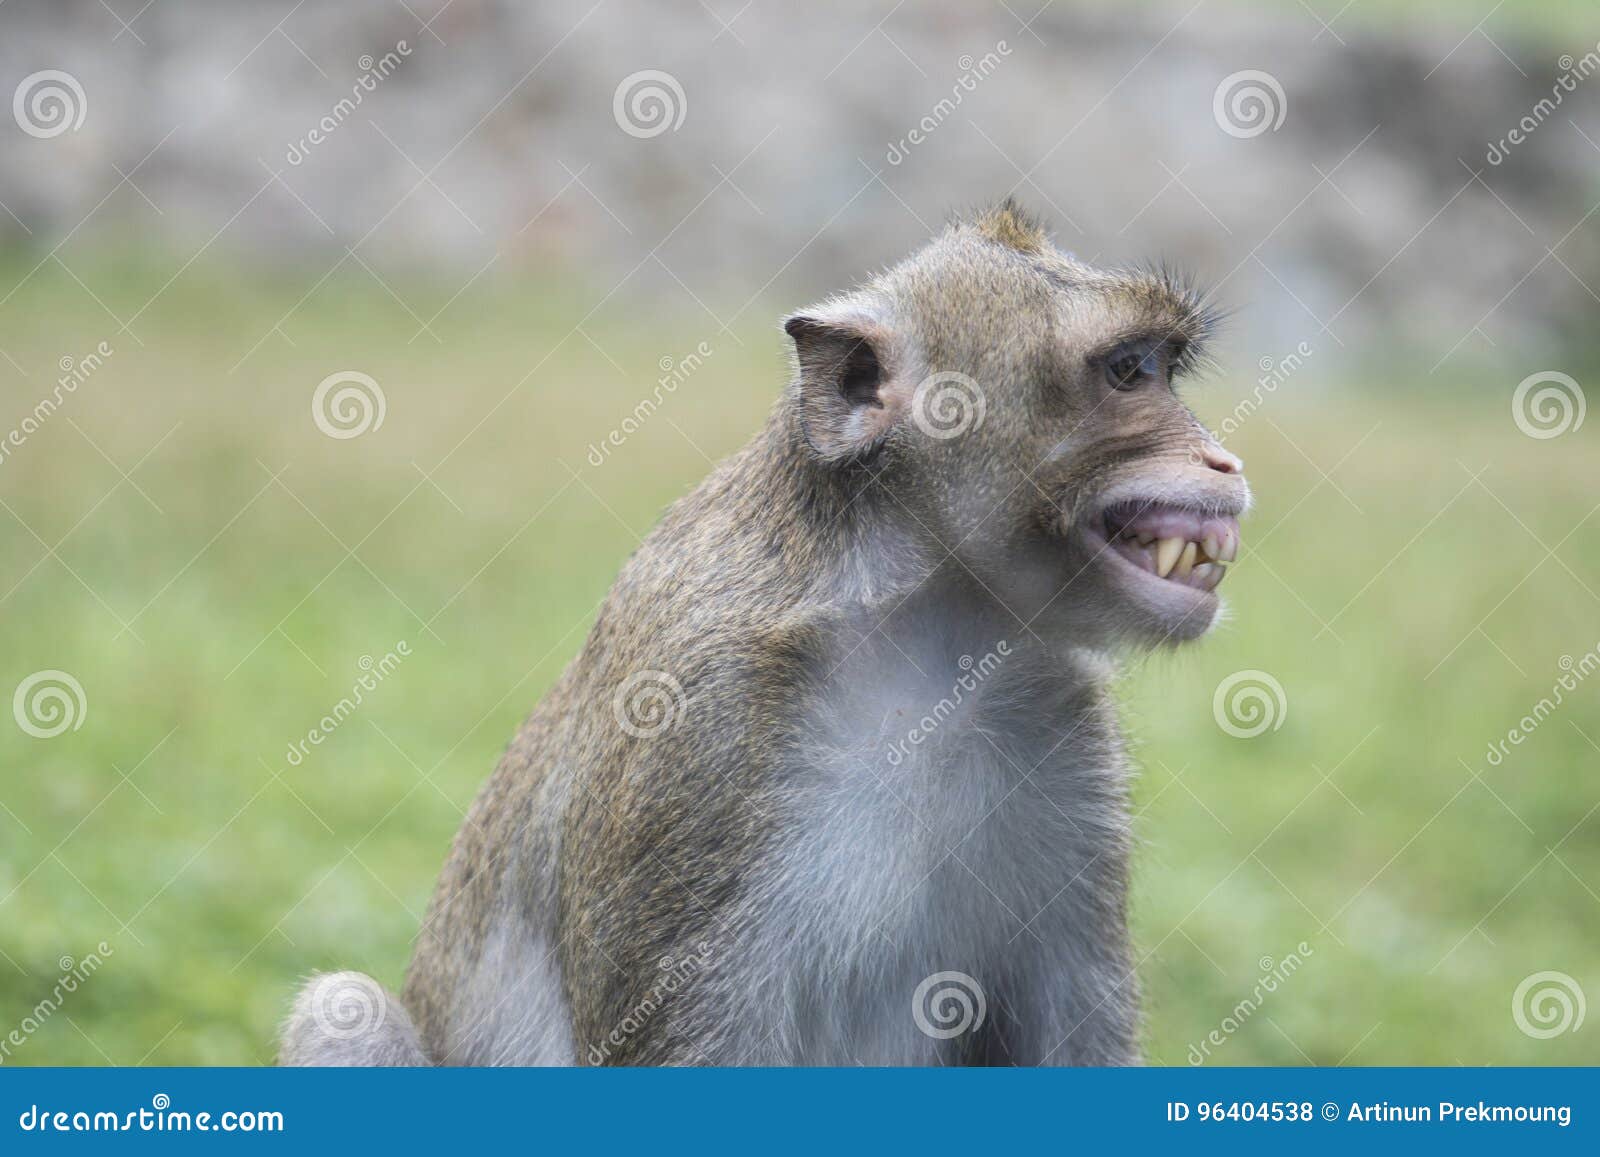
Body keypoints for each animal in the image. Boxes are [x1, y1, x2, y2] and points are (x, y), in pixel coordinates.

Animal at [278, 199, 1248, 1068]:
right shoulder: (696, 727)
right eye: (1127, 370)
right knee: (344, 1014)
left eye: (1162, 367)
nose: (1223, 460)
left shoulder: (1063, 723)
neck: (927, 633)